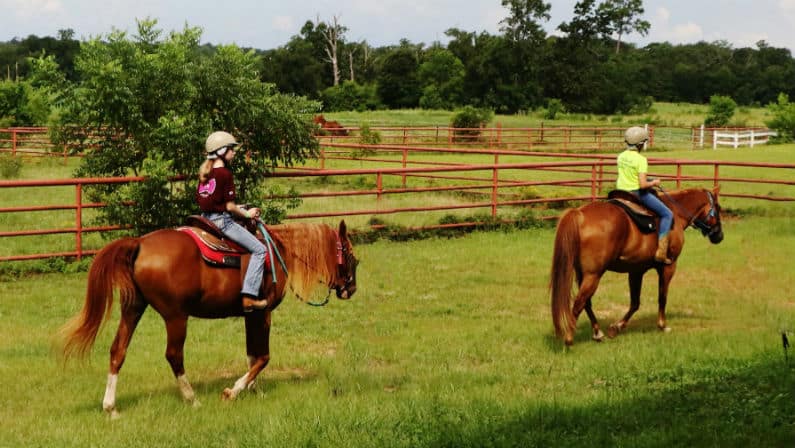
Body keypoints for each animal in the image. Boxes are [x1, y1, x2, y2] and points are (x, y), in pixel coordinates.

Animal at [60, 221, 360, 416]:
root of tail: (140, 244)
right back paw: (192, 399)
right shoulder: (263, 312)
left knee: (117, 351)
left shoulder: (250, 315)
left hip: (133, 308)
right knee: (174, 355)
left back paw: (110, 407)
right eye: (352, 257)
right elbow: (263, 357)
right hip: (175, 316)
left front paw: (254, 390)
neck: (278, 253)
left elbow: (252, 355)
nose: (351, 289)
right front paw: (234, 391)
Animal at [552, 187, 724, 344]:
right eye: (718, 208)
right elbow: (662, 297)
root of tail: (580, 215)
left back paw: (597, 333)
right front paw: (662, 325)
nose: (720, 236)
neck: (676, 213)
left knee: (586, 303)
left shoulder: (636, 270)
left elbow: (635, 302)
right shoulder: (668, 267)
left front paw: (617, 327)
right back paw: (569, 338)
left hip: (582, 274)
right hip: (593, 275)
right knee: (579, 303)